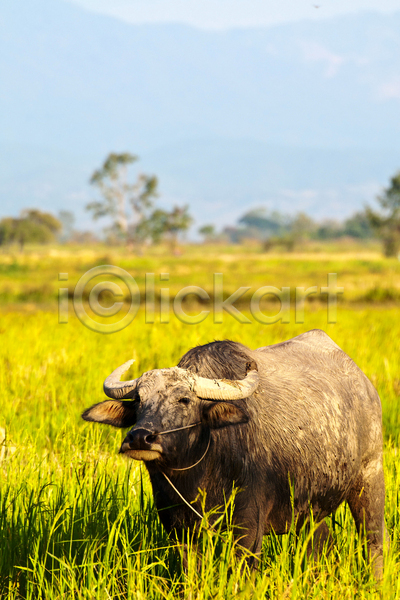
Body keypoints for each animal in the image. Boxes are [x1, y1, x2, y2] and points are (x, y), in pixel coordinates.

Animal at [83, 330, 386, 576]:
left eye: (184, 399)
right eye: (138, 400)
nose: (139, 437)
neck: (200, 474)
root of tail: (365, 385)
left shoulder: (249, 525)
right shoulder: (178, 527)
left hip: (370, 478)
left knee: (374, 542)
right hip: (311, 509)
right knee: (321, 542)